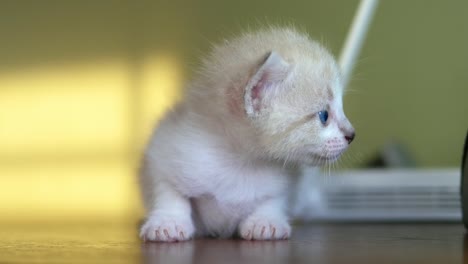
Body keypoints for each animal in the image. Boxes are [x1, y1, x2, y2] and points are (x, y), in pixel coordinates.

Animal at [139, 27, 354, 241]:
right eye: (324, 116)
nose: (352, 134)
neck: (240, 162)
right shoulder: (164, 148)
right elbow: (169, 192)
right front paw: (168, 222)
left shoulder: (288, 182)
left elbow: (275, 198)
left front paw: (265, 221)